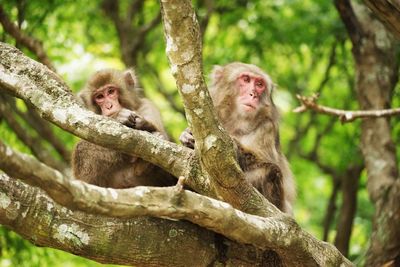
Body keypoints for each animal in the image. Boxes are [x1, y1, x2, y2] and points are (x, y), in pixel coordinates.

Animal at [180, 62, 296, 214]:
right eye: (246, 79)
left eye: (259, 84)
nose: (253, 94)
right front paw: (186, 136)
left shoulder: (267, 128)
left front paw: (232, 144)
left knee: (272, 171)